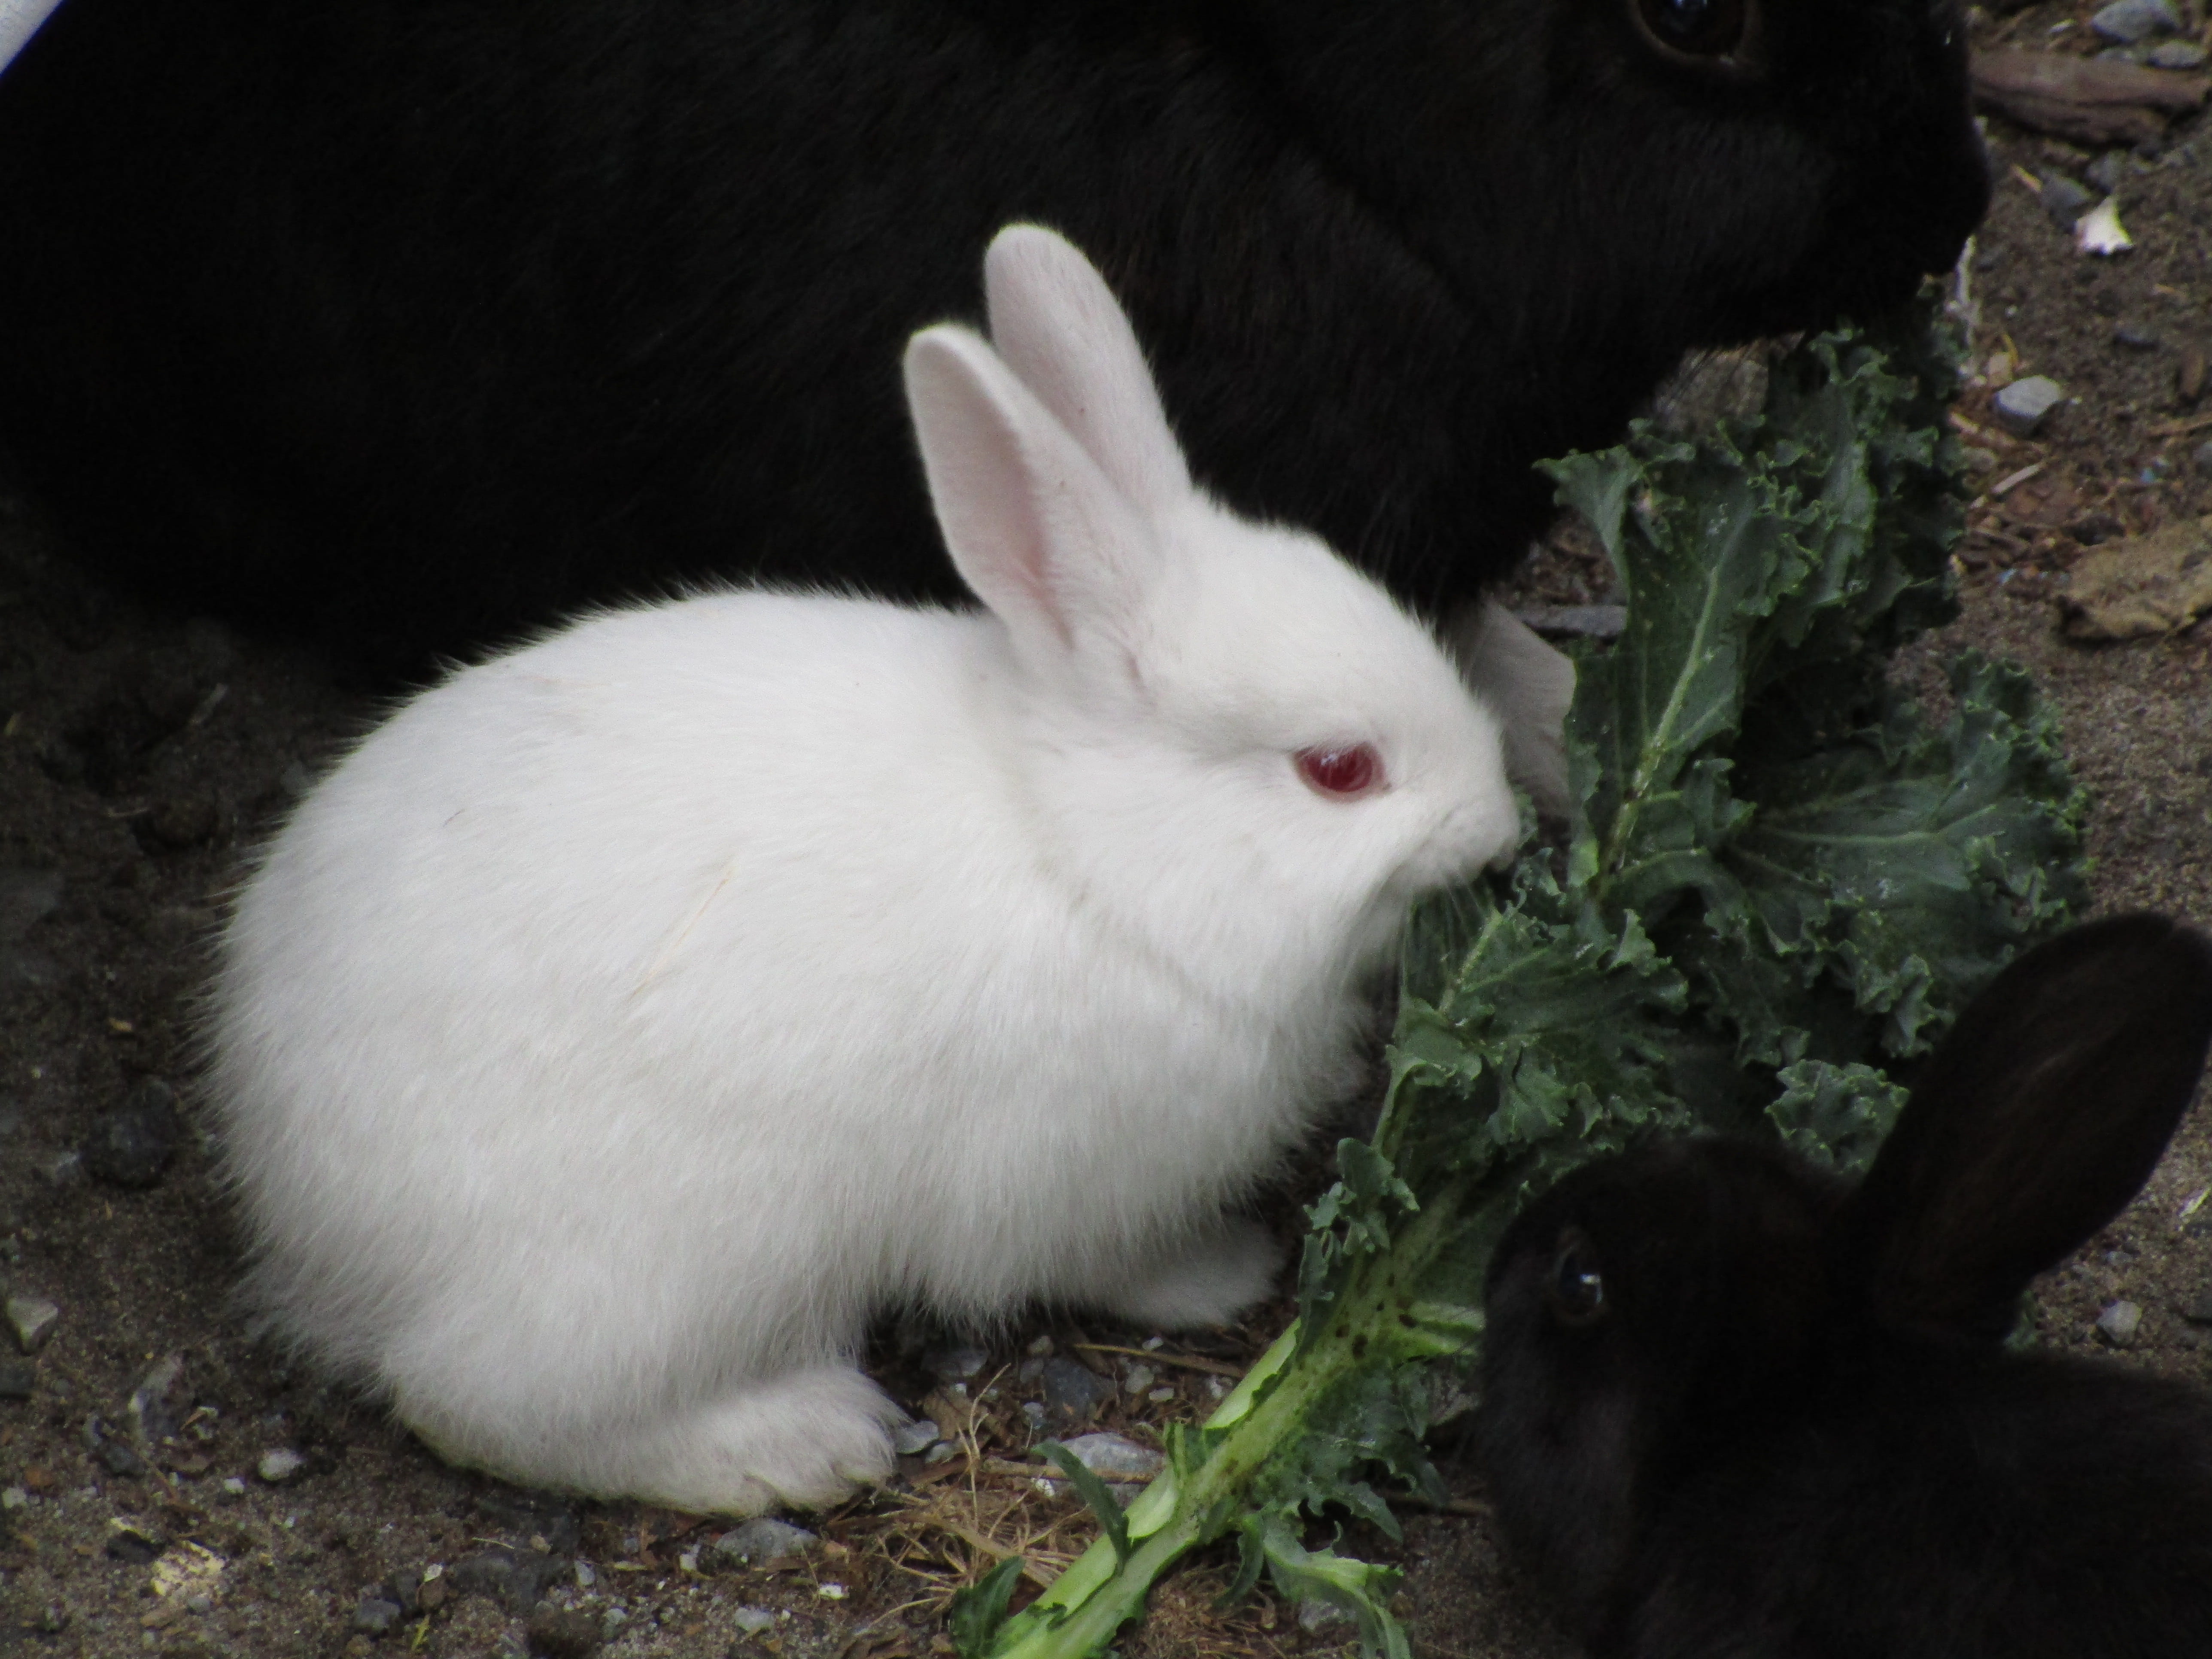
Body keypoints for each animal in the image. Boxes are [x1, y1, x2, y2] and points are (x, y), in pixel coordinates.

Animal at [202, 223, 1523, 1515]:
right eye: (1339, 769)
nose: (1499, 825)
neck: (1089, 852)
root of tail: (297, 1201)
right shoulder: (1070, 1182)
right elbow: (1116, 1265)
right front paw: (1228, 1273)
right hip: (685, 1254)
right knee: (479, 1401)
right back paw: (790, 1446)